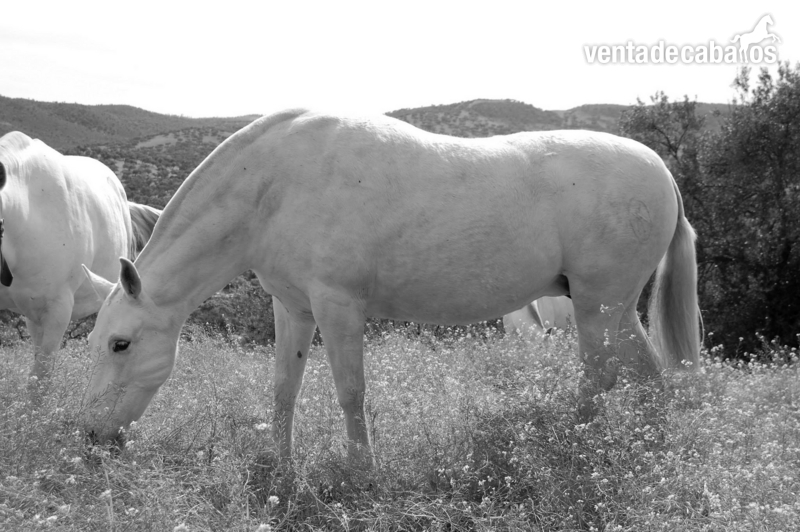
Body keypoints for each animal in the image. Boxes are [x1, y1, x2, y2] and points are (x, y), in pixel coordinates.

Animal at [81, 109, 700, 466]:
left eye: (120, 344)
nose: (90, 434)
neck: (273, 185)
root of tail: (662, 171)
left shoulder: (338, 306)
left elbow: (350, 392)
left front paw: (363, 474)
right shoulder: (294, 309)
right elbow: (284, 389)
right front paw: (280, 468)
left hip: (598, 306)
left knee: (600, 378)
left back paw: (570, 451)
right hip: (617, 308)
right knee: (649, 378)